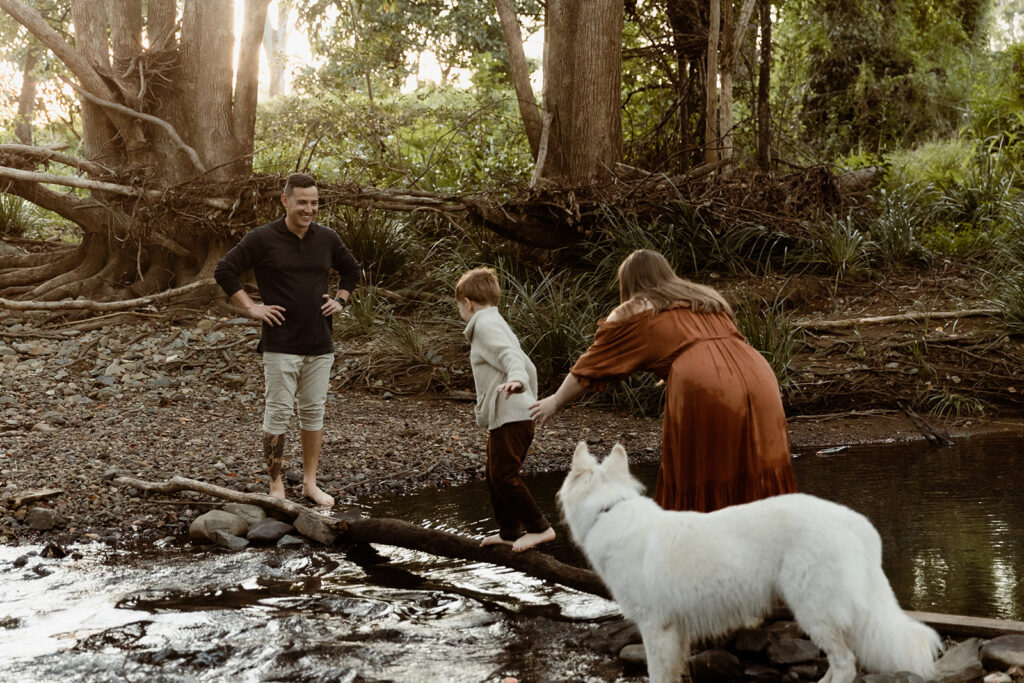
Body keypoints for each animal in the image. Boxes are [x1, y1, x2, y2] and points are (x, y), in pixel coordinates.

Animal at [561, 444, 942, 683]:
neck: (610, 510)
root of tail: (856, 522)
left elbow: (658, 674)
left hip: (813, 609)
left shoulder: (656, 627)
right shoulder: (676, 632)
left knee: (845, 664)